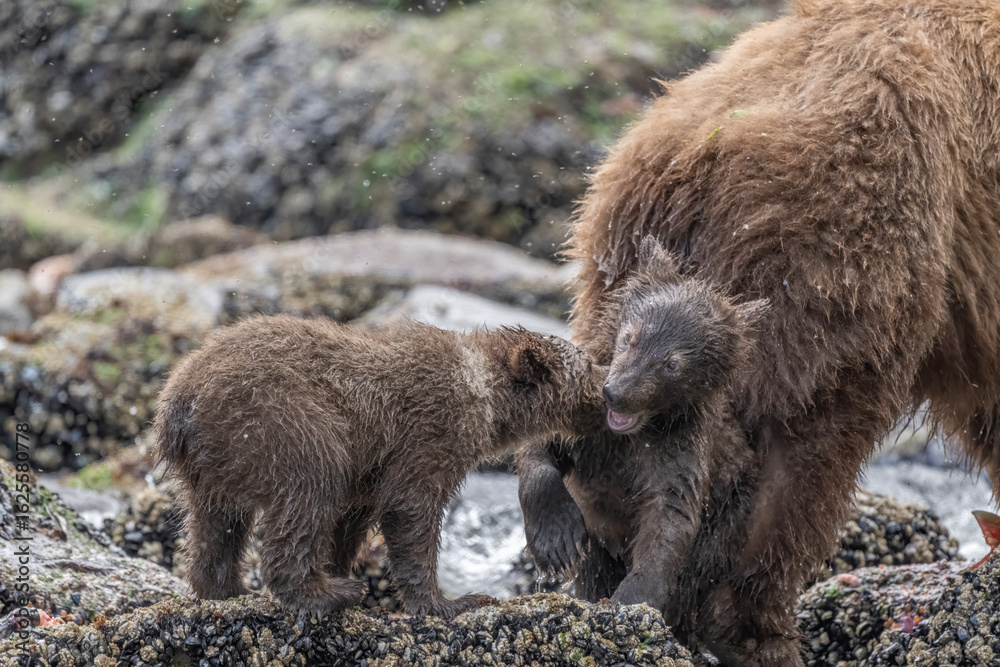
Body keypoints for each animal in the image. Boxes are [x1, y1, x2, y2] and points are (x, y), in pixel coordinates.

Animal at [153, 314, 607, 619]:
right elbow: (410, 508)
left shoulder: (371, 469)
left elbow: (351, 521)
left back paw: (227, 589)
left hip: (214, 461)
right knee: (309, 489)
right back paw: (327, 593)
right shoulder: (431, 428)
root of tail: (178, 400)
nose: (609, 384)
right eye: (587, 363)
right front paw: (451, 602)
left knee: (216, 522)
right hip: (281, 419)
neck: (488, 397)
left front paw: (340, 566)